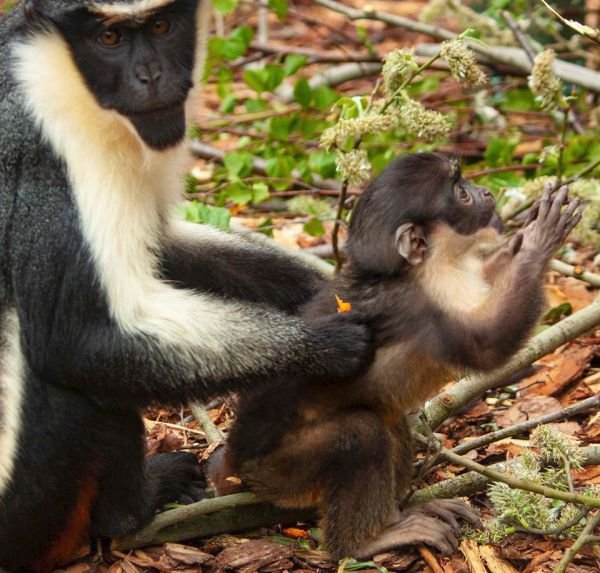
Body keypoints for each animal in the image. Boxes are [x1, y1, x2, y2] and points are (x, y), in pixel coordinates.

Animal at [0, 1, 370, 568]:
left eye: (160, 25)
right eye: (109, 36)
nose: (151, 76)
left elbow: (164, 248)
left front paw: (321, 286)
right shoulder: (52, 160)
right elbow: (77, 339)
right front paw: (325, 347)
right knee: (75, 385)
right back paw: (137, 506)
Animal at [210, 151, 580, 560]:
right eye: (461, 193)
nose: (486, 192)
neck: (421, 270)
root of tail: (234, 462)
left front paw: (520, 240)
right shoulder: (417, 304)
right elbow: (486, 346)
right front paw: (538, 241)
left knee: (390, 418)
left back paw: (401, 511)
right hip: (279, 474)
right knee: (362, 431)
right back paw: (366, 541)